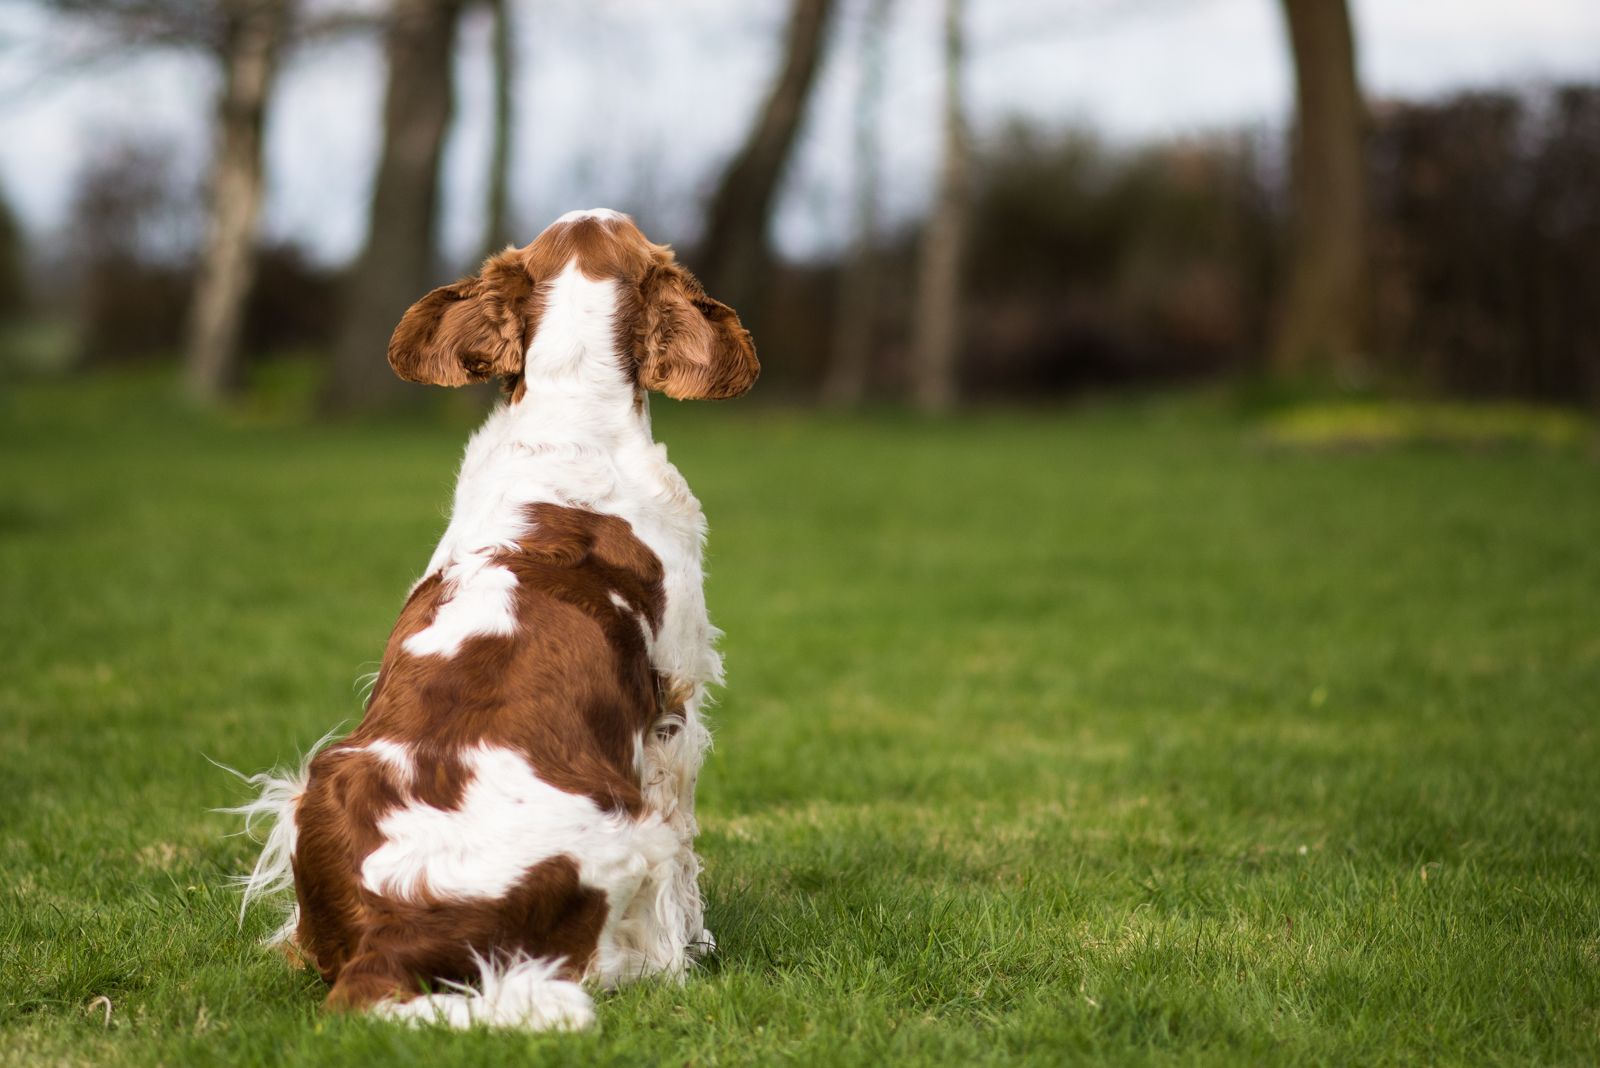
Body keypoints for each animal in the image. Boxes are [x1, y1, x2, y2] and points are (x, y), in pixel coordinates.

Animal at [228, 204, 758, 1029]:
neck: (568, 420)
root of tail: (390, 941)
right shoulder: (675, 701)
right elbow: (689, 846)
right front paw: (700, 945)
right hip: (627, 838)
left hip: (306, 787)